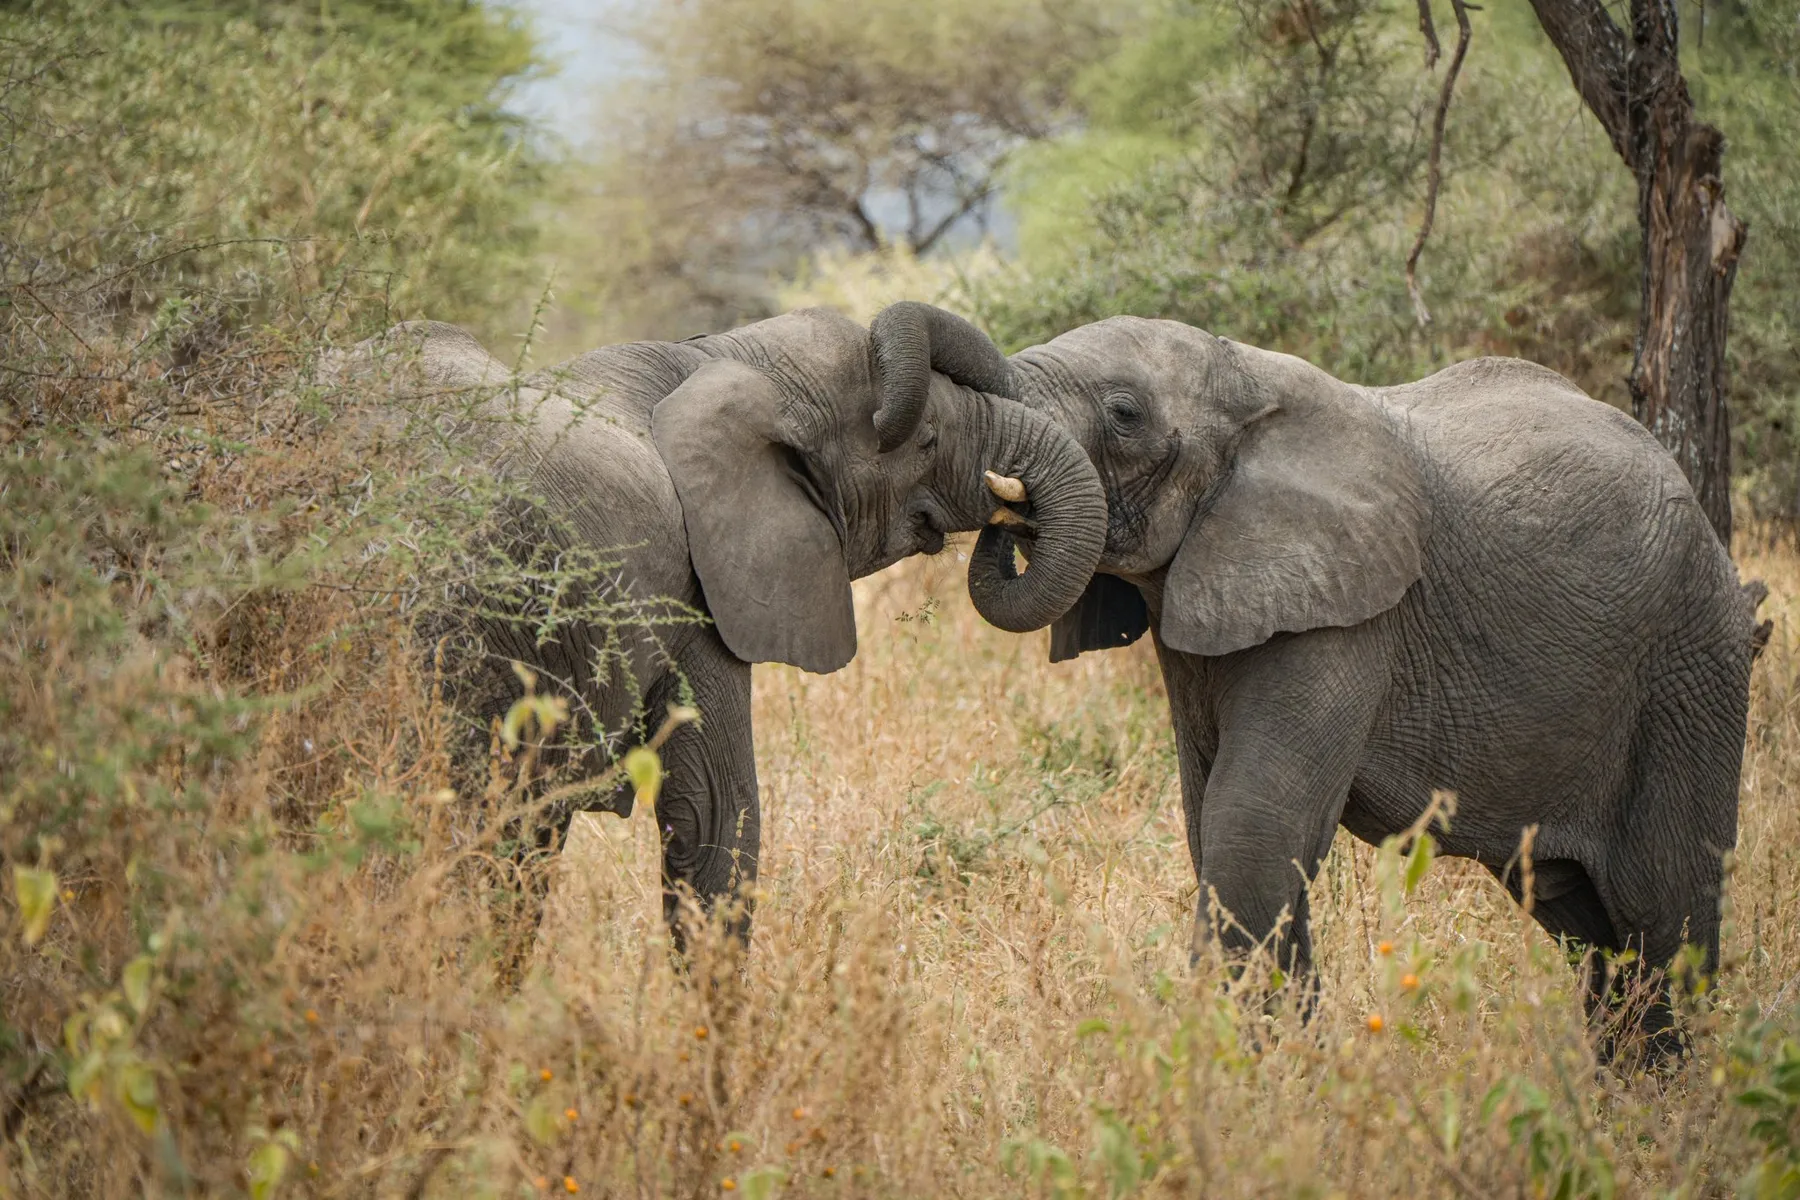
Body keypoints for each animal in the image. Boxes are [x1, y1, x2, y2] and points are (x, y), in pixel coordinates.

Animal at [930, 312, 1755, 1053]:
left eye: (1124, 414)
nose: (1002, 508)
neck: (1248, 378)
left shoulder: (1347, 616)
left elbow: (1252, 828)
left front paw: (1243, 1080)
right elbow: (1216, 827)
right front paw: (1296, 1072)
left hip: (1689, 671)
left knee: (1664, 913)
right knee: (1589, 928)